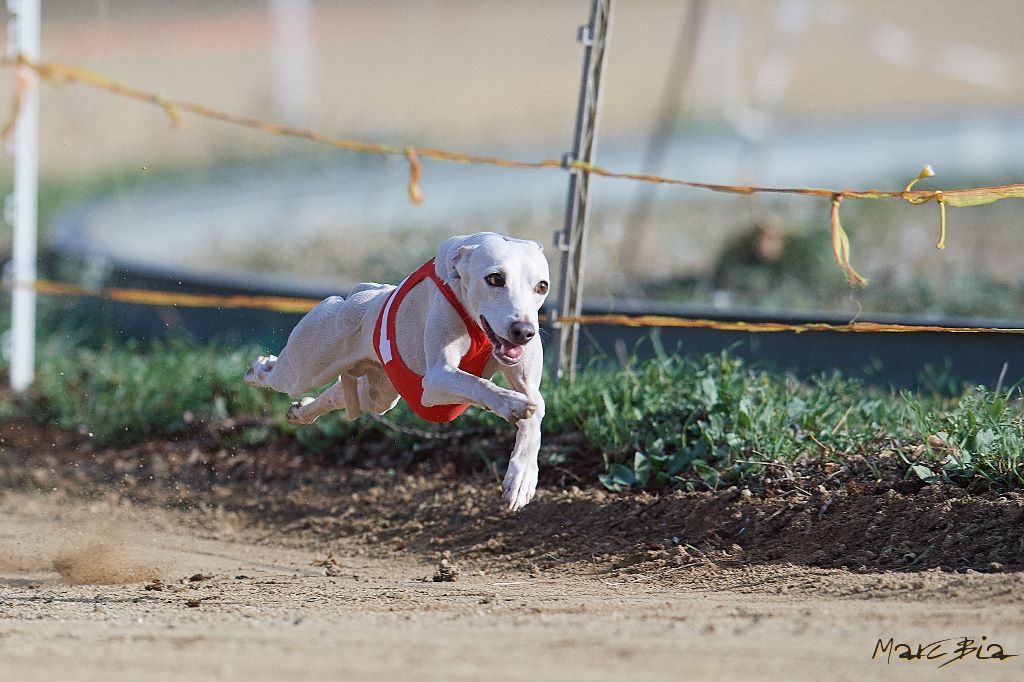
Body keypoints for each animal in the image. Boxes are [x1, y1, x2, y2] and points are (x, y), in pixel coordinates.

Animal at [243, 231, 552, 507]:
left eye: (542, 286)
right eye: (495, 278)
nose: (524, 332)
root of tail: (362, 292)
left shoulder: (529, 387)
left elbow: (535, 413)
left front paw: (522, 477)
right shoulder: (436, 379)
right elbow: (478, 384)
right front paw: (509, 402)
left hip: (379, 395)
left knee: (339, 395)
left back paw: (301, 411)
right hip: (307, 366)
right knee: (282, 375)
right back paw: (259, 368)